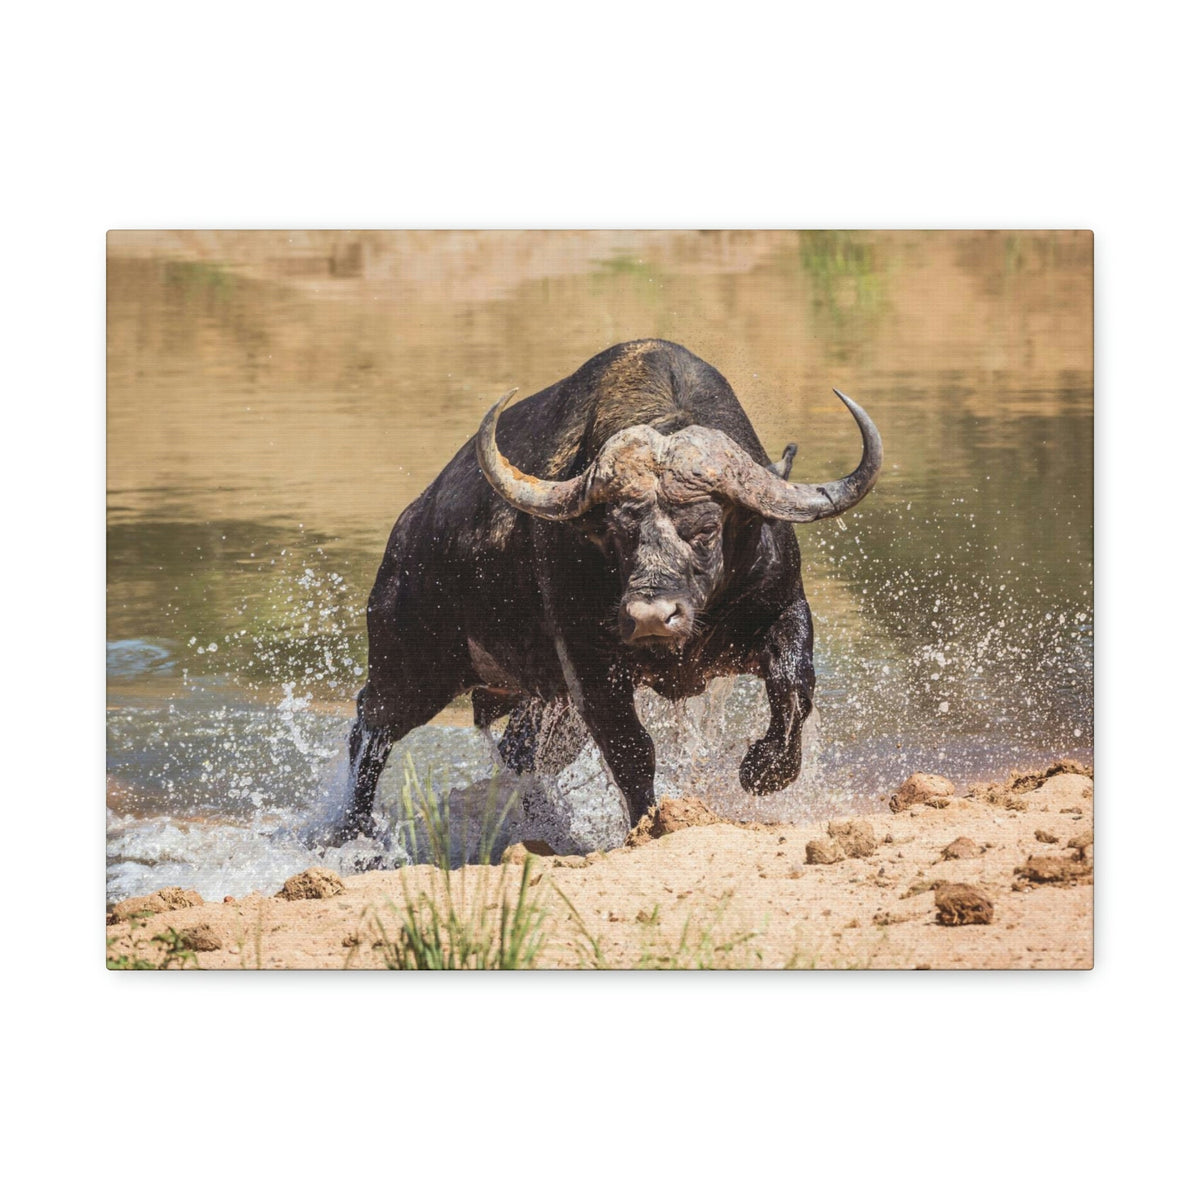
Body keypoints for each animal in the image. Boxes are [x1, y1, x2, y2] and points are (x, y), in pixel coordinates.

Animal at [336, 339, 881, 842]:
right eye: (616, 534)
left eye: (706, 528)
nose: (651, 617)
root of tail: (408, 529)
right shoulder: (588, 663)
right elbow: (631, 749)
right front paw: (650, 824)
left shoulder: (783, 608)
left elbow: (794, 688)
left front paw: (764, 771)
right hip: (411, 668)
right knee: (370, 730)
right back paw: (353, 835)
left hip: (540, 702)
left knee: (521, 754)